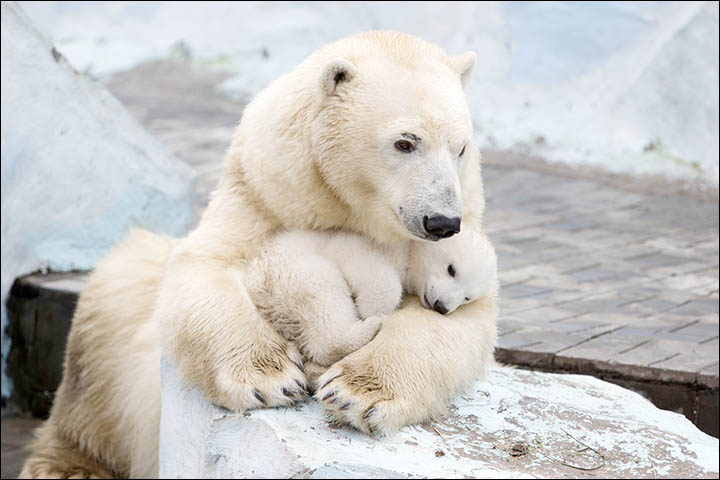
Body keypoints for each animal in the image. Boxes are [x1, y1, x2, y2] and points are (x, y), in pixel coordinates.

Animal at [21, 31, 496, 478]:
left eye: (461, 147)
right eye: (405, 142)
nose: (442, 221)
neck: (341, 204)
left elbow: (456, 324)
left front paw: (356, 391)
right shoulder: (260, 194)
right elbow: (208, 268)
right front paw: (271, 378)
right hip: (114, 342)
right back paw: (68, 465)